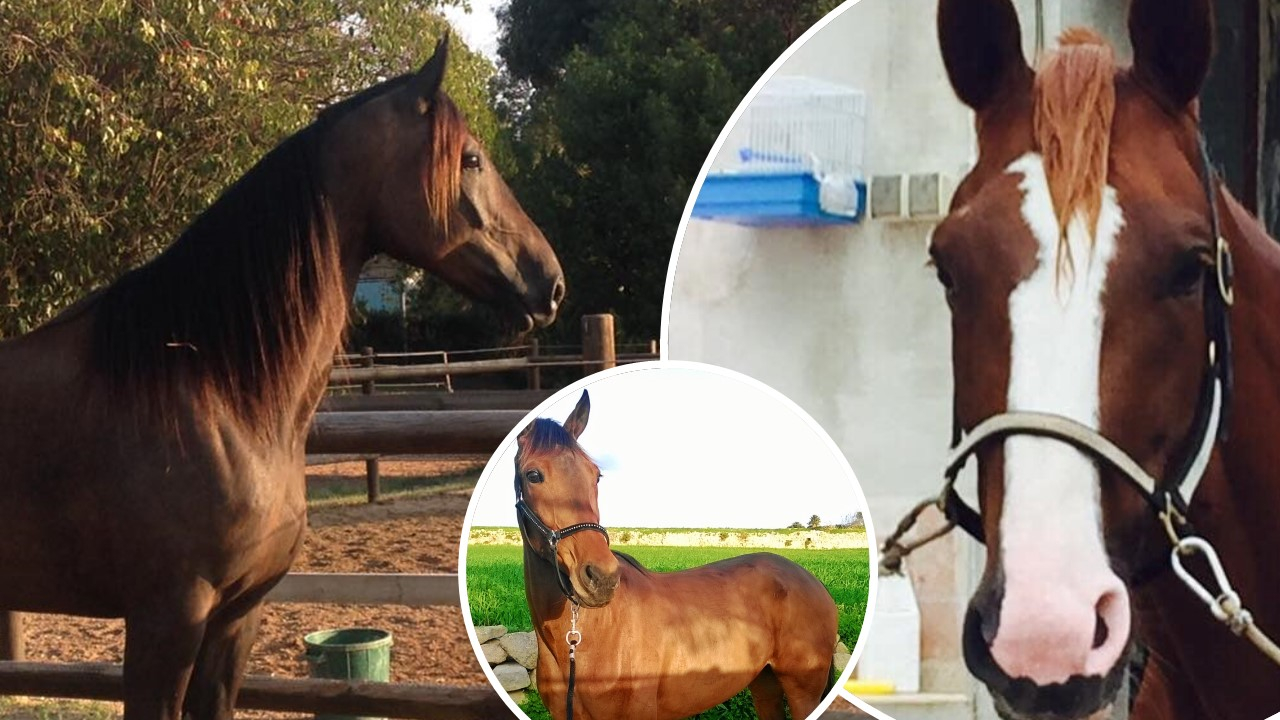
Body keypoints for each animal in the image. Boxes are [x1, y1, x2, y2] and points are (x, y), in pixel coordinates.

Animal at [511, 390, 839, 720]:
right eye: (533, 475)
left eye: (596, 476)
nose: (602, 578)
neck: (585, 642)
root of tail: (813, 582)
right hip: (764, 683)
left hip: (803, 691)